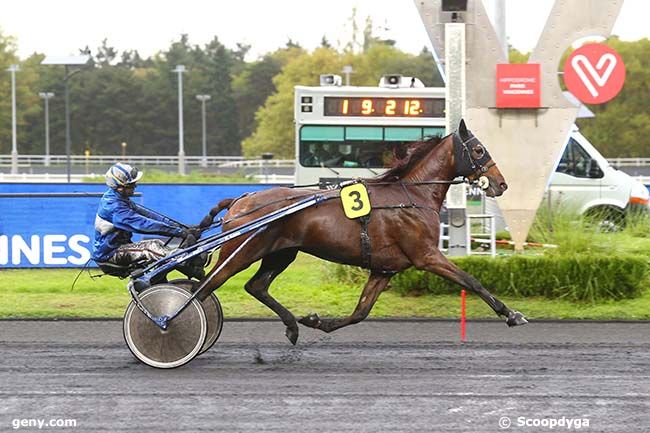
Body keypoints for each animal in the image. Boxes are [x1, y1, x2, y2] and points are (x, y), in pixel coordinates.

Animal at [195, 119, 524, 344]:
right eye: (479, 149)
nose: (502, 183)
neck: (411, 195)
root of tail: (241, 199)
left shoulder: (385, 269)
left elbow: (360, 312)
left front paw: (317, 321)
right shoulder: (426, 255)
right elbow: (472, 280)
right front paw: (512, 314)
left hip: (281, 253)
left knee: (256, 286)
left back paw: (291, 325)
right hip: (242, 251)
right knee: (207, 286)